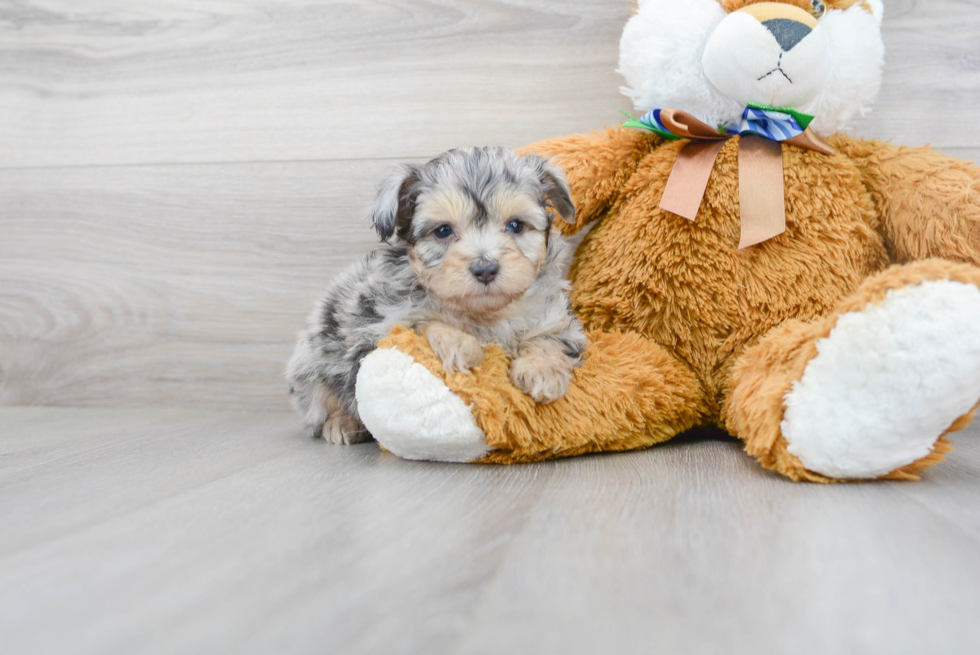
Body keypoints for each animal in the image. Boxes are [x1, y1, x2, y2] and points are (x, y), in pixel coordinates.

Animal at [288, 147, 584, 446]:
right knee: (324, 400)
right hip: (313, 363)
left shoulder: (560, 323)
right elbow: (424, 322)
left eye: (516, 225)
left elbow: (548, 340)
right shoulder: (380, 325)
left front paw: (542, 371)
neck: (484, 315)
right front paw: (461, 345)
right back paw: (342, 423)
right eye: (443, 230)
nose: (485, 269)